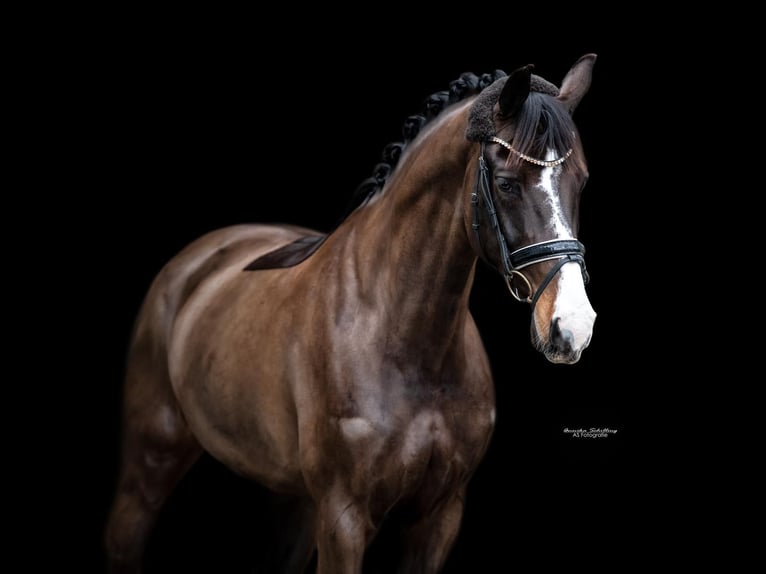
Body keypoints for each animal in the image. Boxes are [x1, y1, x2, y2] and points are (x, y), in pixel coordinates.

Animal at [104, 53, 598, 573]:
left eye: (582, 180)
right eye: (506, 183)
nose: (573, 326)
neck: (403, 338)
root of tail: (198, 259)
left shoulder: (438, 517)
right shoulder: (344, 517)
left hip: (294, 500)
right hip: (150, 462)